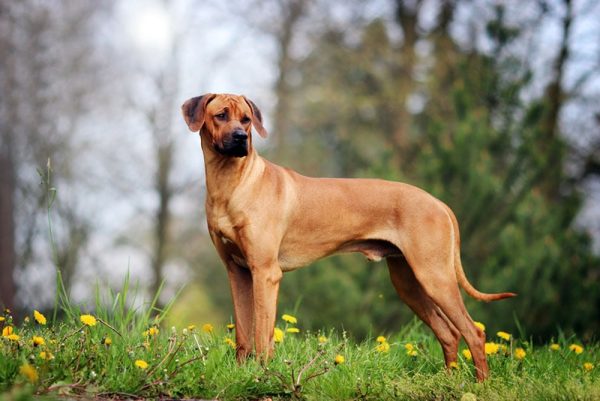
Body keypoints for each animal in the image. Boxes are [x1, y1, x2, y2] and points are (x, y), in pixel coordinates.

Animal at [180, 92, 512, 380]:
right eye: (221, 115)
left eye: (247, 119)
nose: (241, 138)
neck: (232, 184)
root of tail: (439, 203)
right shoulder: (237, 272)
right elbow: (243, 333)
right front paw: (242, 373)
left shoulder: (265, 272)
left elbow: (262, 333)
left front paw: (263, 373)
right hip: (408, 281)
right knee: (450, 333)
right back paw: (450, 380)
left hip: (435, 276)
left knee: (474, 332)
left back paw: (480, 385)